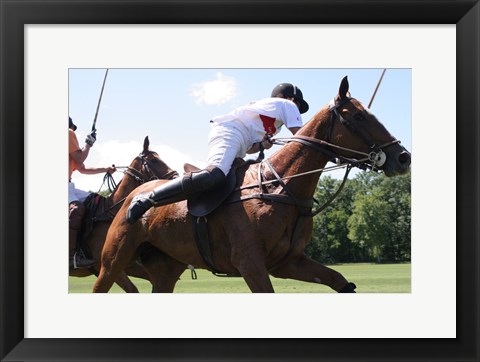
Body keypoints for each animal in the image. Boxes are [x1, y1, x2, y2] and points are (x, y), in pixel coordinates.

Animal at [70, 136, 177, 292]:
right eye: (154, 160)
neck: (111, 213)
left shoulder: (127, 264)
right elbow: (132, 289)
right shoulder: (105, 266)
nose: (176, 177)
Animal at [94, 78, 412, 292]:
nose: (403, 157)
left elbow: (341, 282)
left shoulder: (288, 262)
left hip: (165, 269)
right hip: (113, 260)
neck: (280, 186)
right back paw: (140, 205)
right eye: (359, 115)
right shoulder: (250, 264)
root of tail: (130, 196)